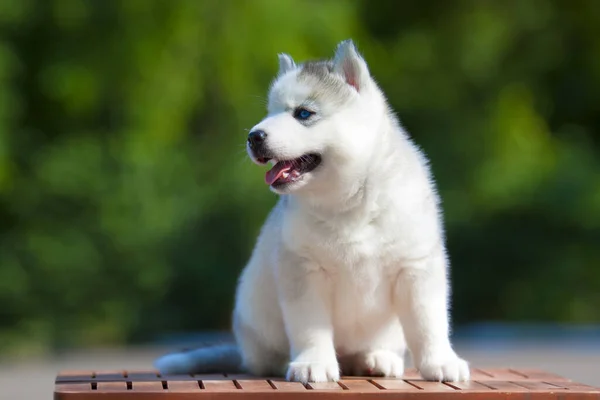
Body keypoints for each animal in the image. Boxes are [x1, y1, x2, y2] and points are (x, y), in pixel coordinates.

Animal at [154, 39, 468, 382]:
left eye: (303, 113)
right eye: (270, 113)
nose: (253, 136)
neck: (349, 201)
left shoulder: (416, 267)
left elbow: (429, 323)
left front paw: (441, 361)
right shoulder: (303, 271)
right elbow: (311, 328)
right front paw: (313, 363)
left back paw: (375, 358)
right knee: (268, 358)